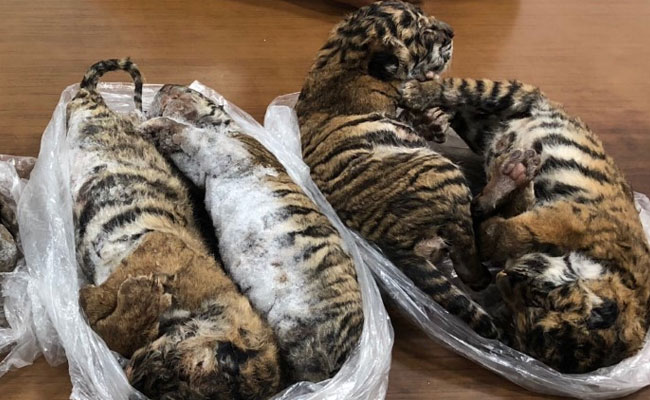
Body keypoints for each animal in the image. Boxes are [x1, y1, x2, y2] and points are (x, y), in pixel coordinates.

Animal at [67, 58, 282, 399]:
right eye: (223, 360)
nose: (136, 377)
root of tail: (89, 97)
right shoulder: (153, 251)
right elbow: (109, 317)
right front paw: (143, 293)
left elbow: (102, 320)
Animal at [139, 84, 364, 383]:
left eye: (187, 91)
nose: (164, 87)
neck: (223, 126)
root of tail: (343, 356)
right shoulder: (200, 167)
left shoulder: (230, 148)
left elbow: (190, 133)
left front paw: (154, 124)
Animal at [294, 0, 501, 338]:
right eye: (423, 33)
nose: (452, 32)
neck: (343, 54)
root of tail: (395, 242)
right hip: (443, 172)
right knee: (466, 255)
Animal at [400, 76, 650, 372]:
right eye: (538, 298)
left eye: (518, 312)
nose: (504, 276)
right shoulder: (564, 218)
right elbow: (509, 231)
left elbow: (496, 220)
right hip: (508, 94)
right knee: (453, 86)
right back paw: (417, 95)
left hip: (480, 126)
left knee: (461, 114)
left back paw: (441, 124)